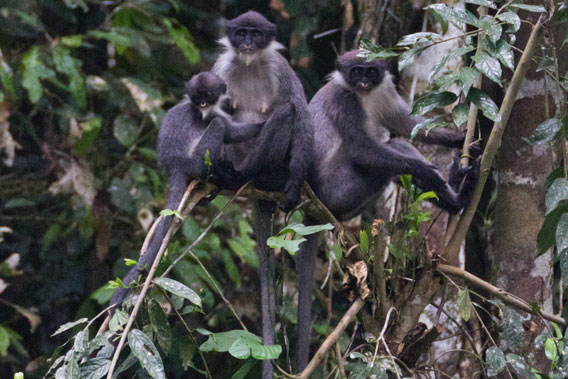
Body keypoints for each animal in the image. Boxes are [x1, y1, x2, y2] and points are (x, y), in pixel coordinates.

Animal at [108, 72, 262, 312]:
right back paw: (218, 175)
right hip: (198, 160)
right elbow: (230, 131)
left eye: (208, 95)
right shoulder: (209, 116)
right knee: (218, 127)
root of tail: (177, 165)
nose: (203, 104)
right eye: (198, 97)